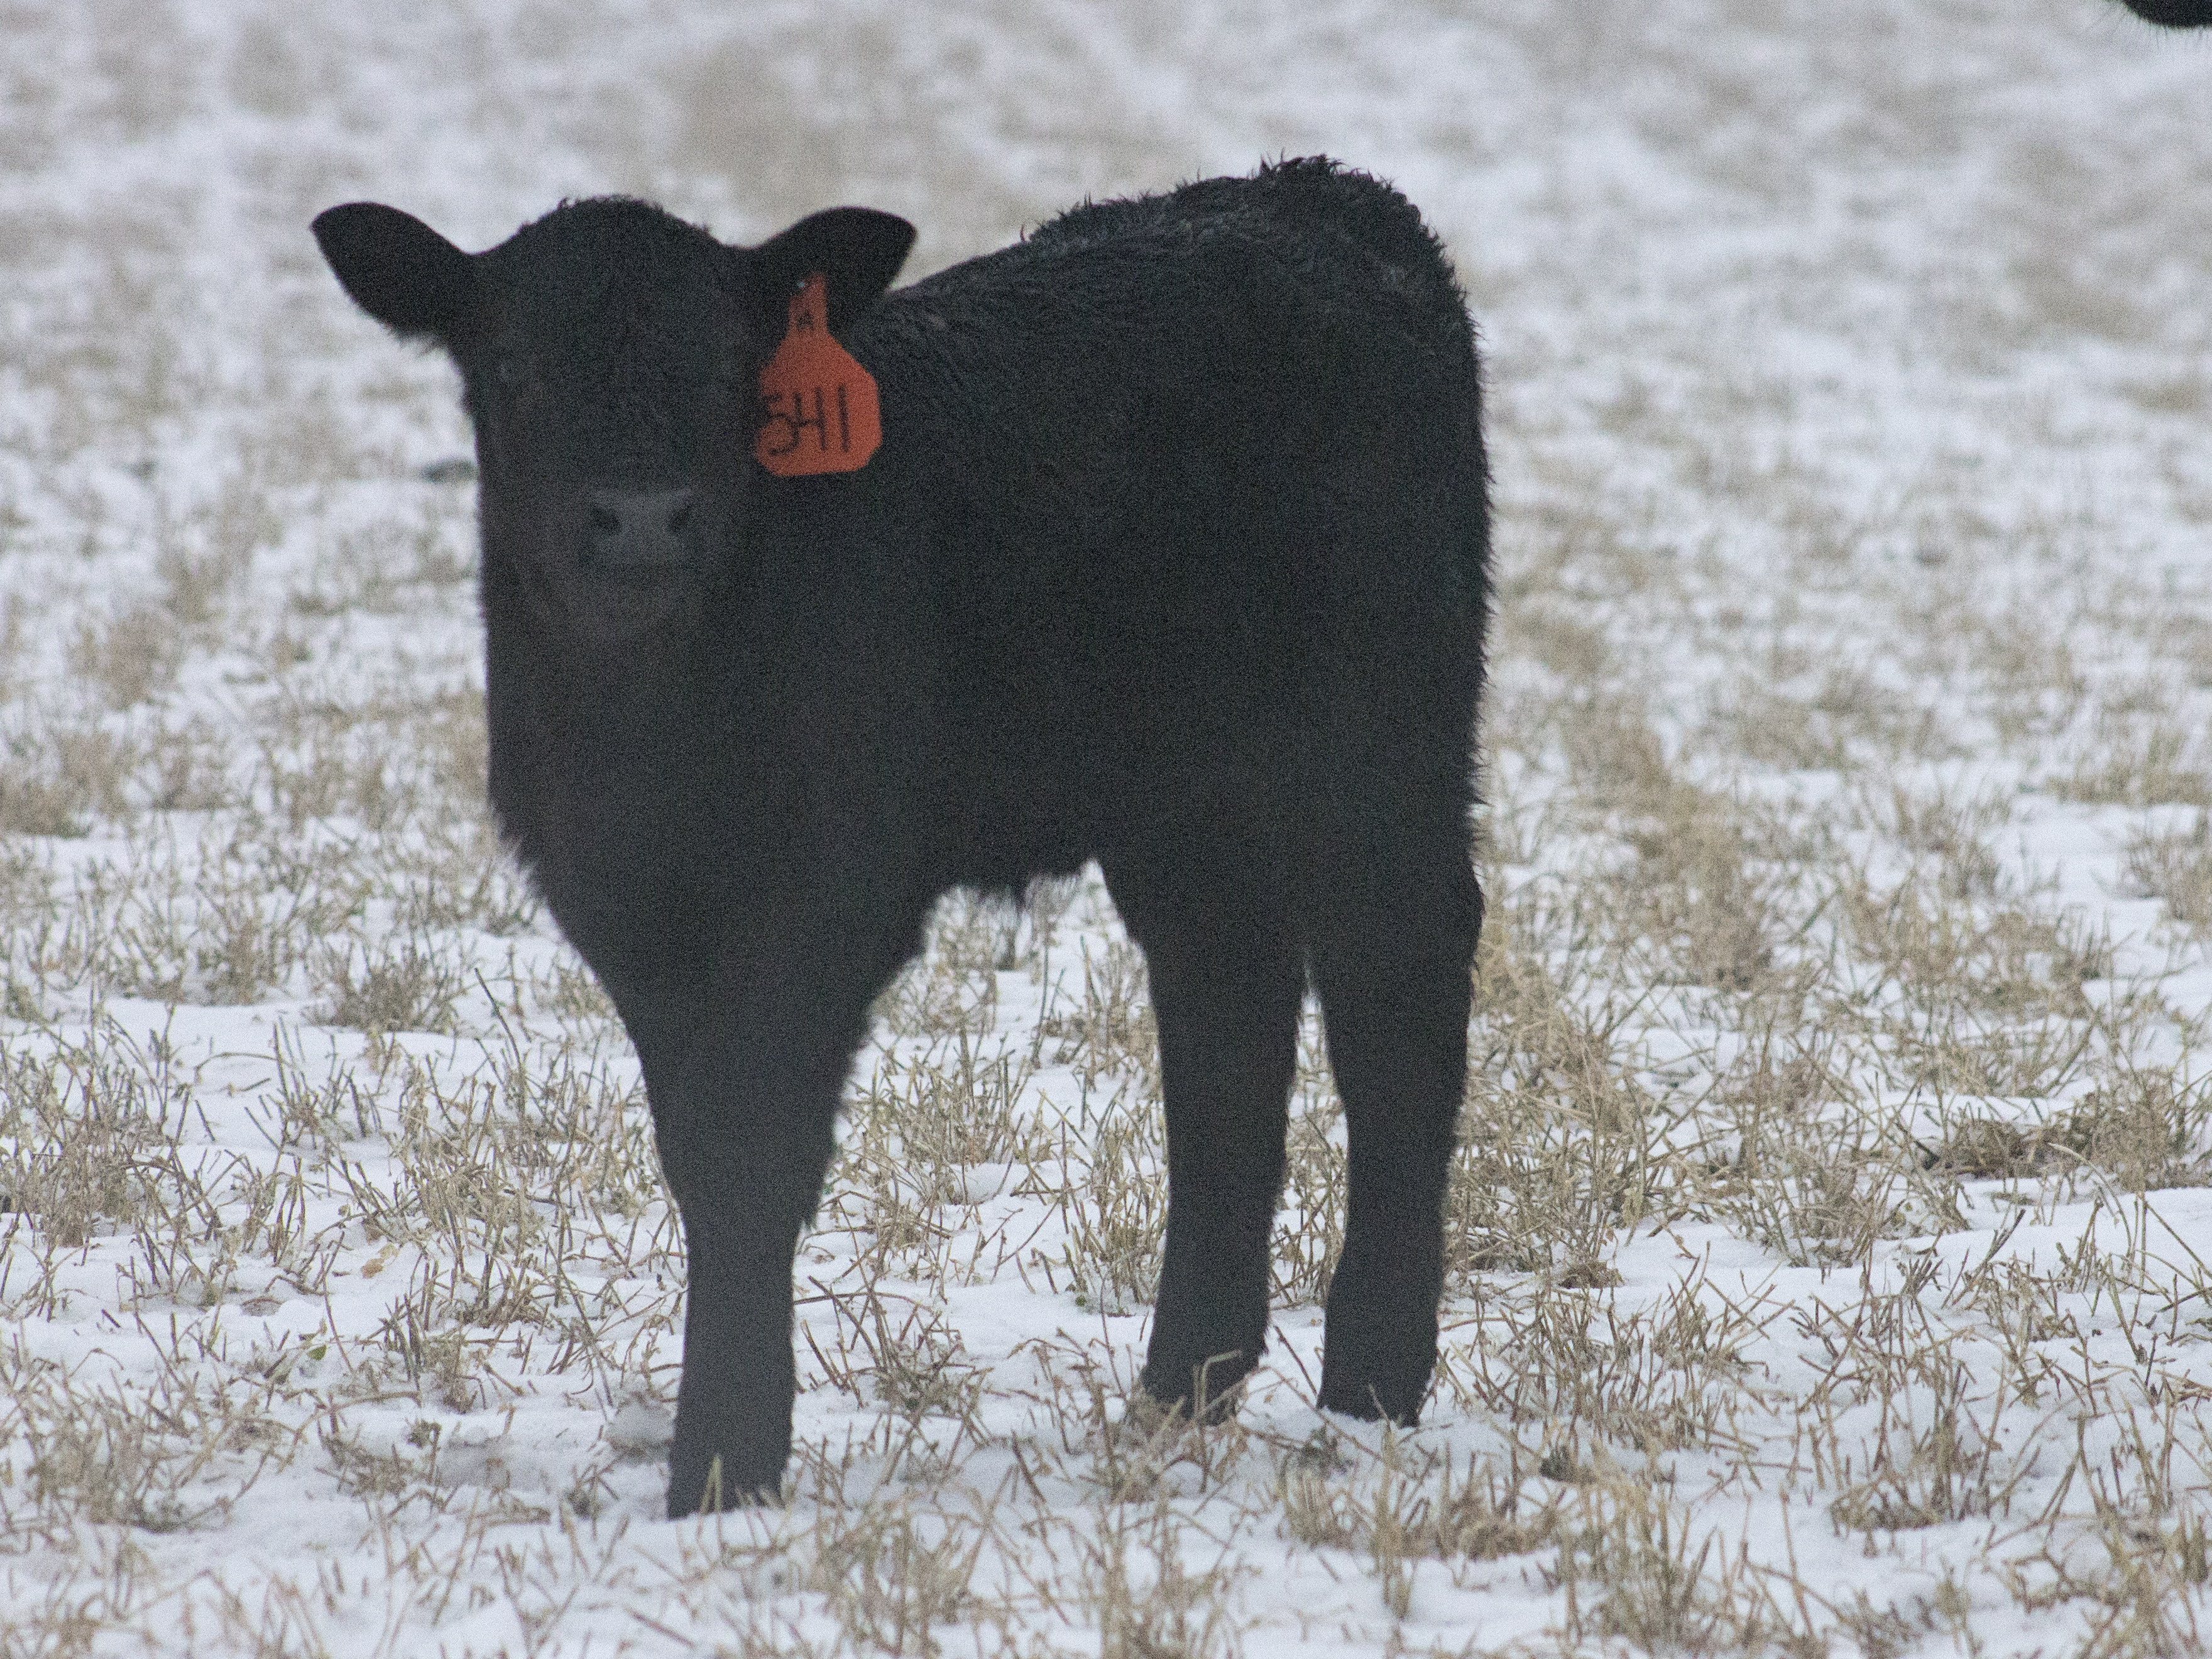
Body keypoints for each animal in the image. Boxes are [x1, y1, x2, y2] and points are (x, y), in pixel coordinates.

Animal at [313, 157, 1488, 1515]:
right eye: (511, 365)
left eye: (733, 365)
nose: (644, 521)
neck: (652, 738)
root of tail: (1320, 196)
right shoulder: (618, 902)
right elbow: (693, 1148)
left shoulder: (829, 890)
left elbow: (749, 1150)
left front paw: (722, 1468)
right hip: (1187, 804)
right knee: (1225, 1022)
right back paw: (1180, 1388)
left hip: (1381, 747)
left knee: (1396, 999)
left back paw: (1368, 1390)